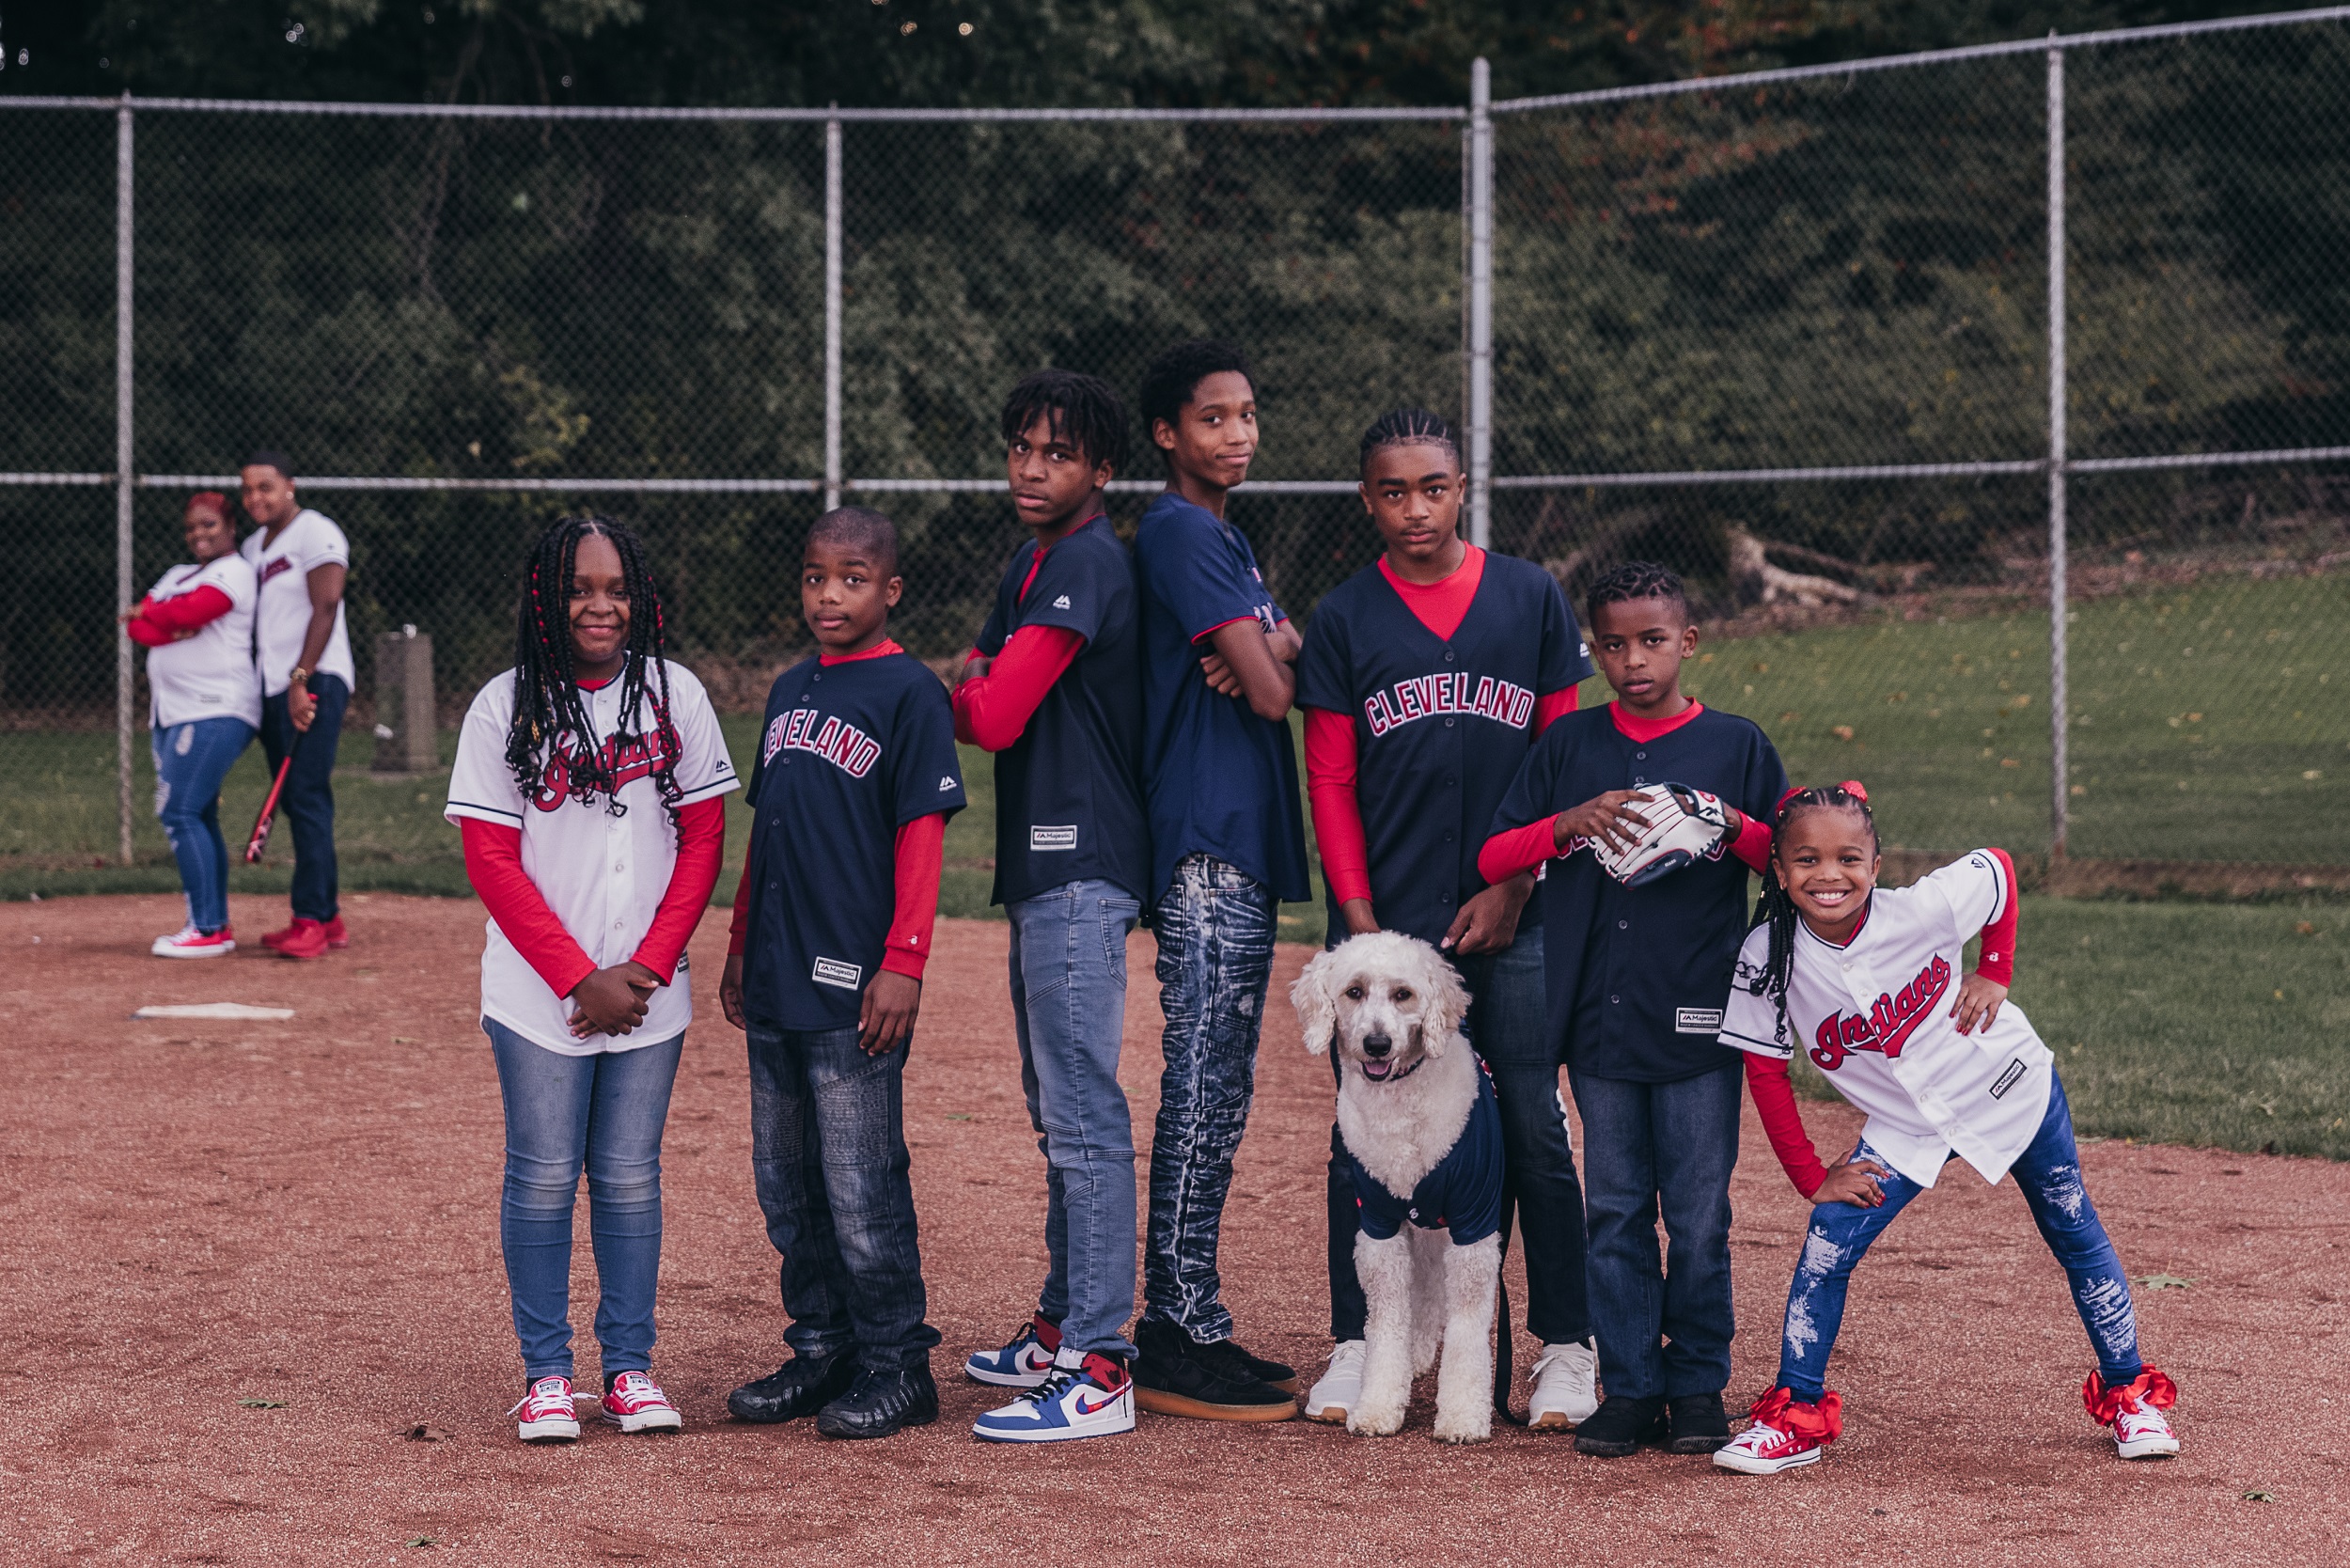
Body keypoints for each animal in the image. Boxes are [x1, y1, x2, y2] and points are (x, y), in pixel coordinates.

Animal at [1288, 931, 1504, 1448]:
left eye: (1403, 994)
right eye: (1354, 992)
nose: (1377, 1044)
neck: (1402, 1110)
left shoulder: (1474, 1228)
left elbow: (1467, 1330)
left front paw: (1463, 1416)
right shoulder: (1379, 1226)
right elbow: (1387, 1324)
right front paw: (1378, 1405)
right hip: (1420, 1229)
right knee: (1423, 1295)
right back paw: (1417, 1357)